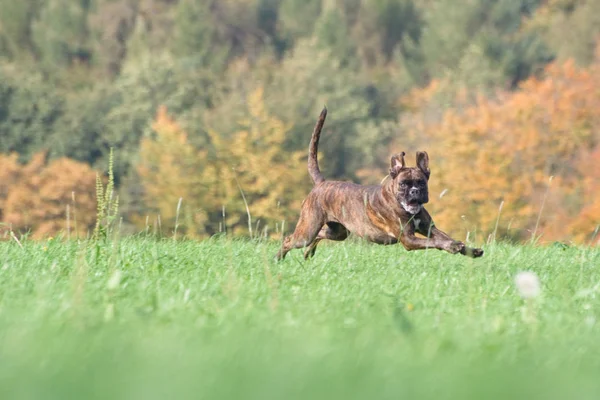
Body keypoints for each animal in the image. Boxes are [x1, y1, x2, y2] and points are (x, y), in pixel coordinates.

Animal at [274, 108, 486, 260]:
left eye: (421, 183)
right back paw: (278, 258)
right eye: (404, 184)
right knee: (289, 240)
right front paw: (453, 246)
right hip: (307, 230)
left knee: (321, 235)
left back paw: (308, 254)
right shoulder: (408, 239)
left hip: (338, 232)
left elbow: (443, 237)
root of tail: (321, 183)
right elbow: (435, 243)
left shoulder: (429, 229)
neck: (401, 205)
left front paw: (470, 250)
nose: (415, 191)